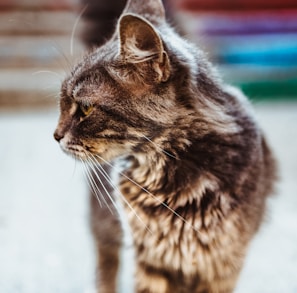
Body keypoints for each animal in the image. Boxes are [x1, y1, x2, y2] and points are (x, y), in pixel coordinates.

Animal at [52, 0, 276, 290]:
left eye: (86, 109)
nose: (55, 135)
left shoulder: (223, 263)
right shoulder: (151, 261)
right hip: (105, 220)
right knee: (106, 263)